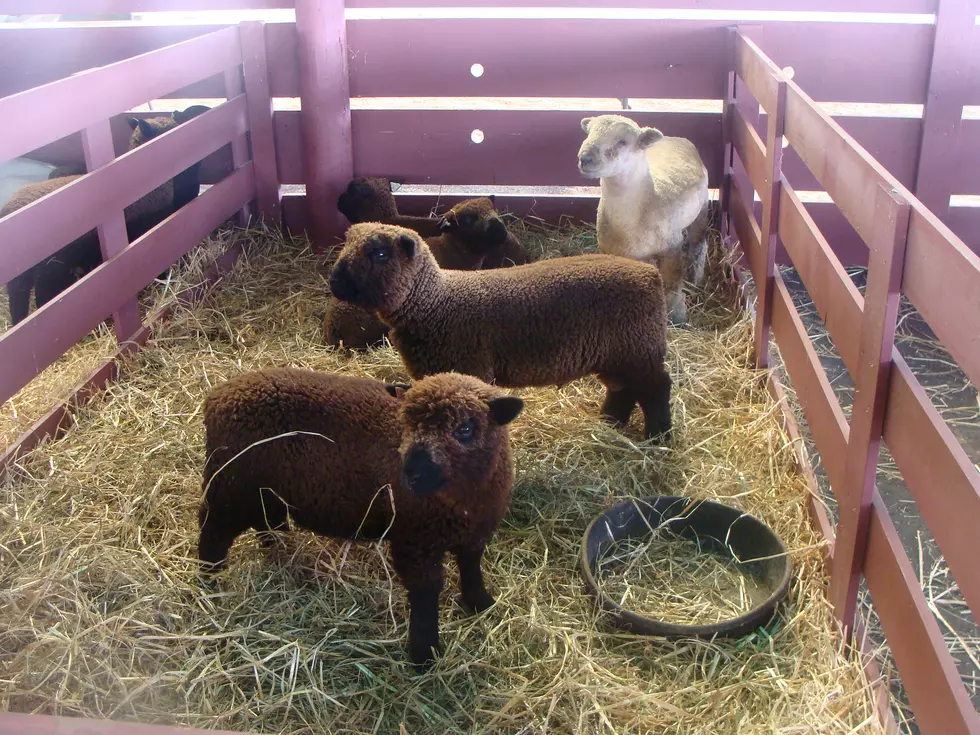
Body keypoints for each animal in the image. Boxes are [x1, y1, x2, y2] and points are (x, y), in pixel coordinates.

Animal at [194, 368, 524, 672]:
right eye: (406, 423)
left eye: (465, 428)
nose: (411, 474)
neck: (462, 501)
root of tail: (217, 397)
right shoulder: (414, 539)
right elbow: (426, 593)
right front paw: (424, 653)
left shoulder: (475, 533)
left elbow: (471, 568)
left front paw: (481, 603)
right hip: (230, 487)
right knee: (212, 533)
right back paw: (210, 582)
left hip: (263, 488)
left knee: (268, 520)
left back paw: (281, 553)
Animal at [330, 224, 672, 442]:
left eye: (380, 254)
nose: (335, 281)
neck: (436, 302)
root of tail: (652, 275)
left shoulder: (469, 368)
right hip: (617, 354)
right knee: (623, 390)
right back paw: (610, 423)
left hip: (637, 349)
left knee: (657, 388)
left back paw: (658, 436)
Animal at [580, 114, 708, 324]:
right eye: (588, 133)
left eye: (622, 141)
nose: (585, 158)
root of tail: (674, 137)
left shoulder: (672, 246)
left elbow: (673, 284)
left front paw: (677, 317)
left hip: (703, 206)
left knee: (698, 244)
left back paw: (696, 277)